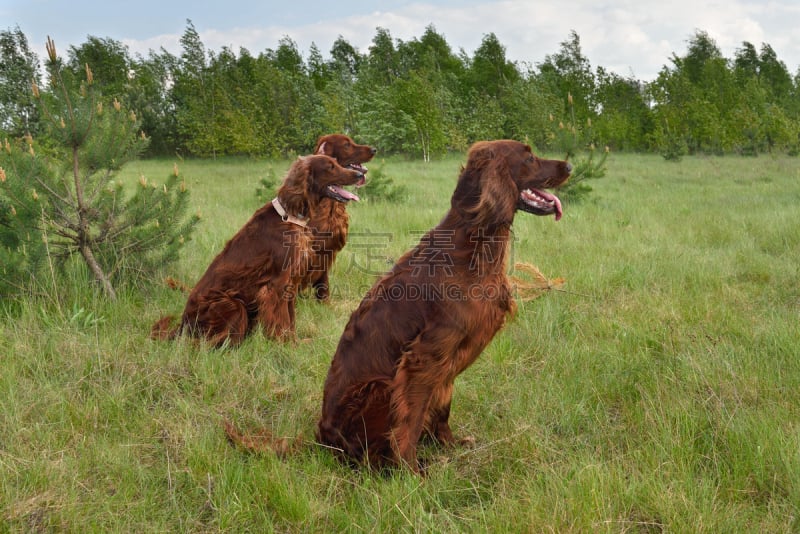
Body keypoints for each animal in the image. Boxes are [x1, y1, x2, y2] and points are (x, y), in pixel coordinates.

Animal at [152, 155, 368, 348]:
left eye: (337, 163)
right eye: (330, 167)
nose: (360, 174)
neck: (289, 217)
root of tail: (182, 325)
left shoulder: (291, 281)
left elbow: (291, 319)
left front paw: (296, 343)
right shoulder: (276, 285)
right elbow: (282, 320)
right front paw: (285, 346)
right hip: (232, 303)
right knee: (205, 344)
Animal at [316, 141, 572, 474]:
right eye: (529, 157)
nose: (569, 166)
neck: (474, 244)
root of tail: (321, 438)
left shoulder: (449, 358)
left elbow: (442, 405)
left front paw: (448, 445)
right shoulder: (424, 357)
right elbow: (410, 420)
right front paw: (410, 471)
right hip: (378, 387)